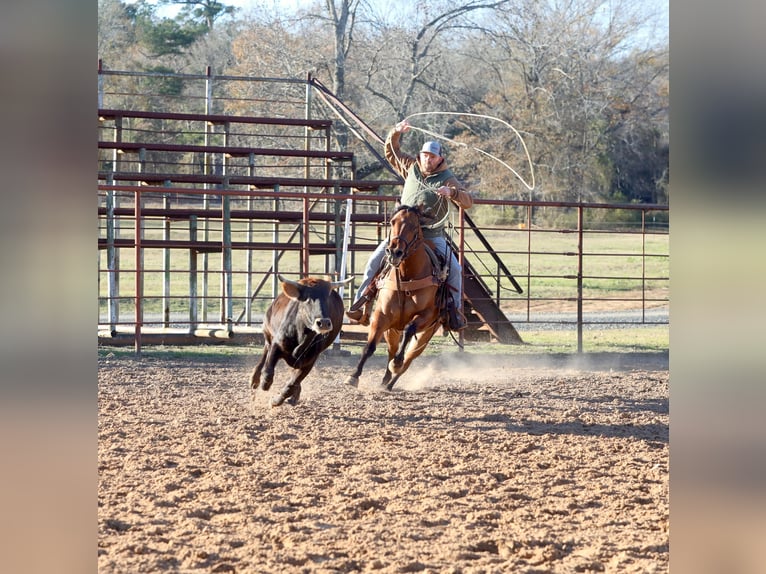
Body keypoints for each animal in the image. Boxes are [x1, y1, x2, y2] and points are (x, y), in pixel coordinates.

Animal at [346, 206, 448, 392]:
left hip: (426, 333)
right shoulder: (381, 316)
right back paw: (385, 379)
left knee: (408, 359)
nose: (394, 252)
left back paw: (392, 380)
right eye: (393, 222)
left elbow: (409, 330)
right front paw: (353, 376)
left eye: (414, 225)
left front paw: (397, 364)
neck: (407, 276)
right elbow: (369, 347)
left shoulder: (426, 315)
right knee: (391, 350)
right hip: (392, 329)